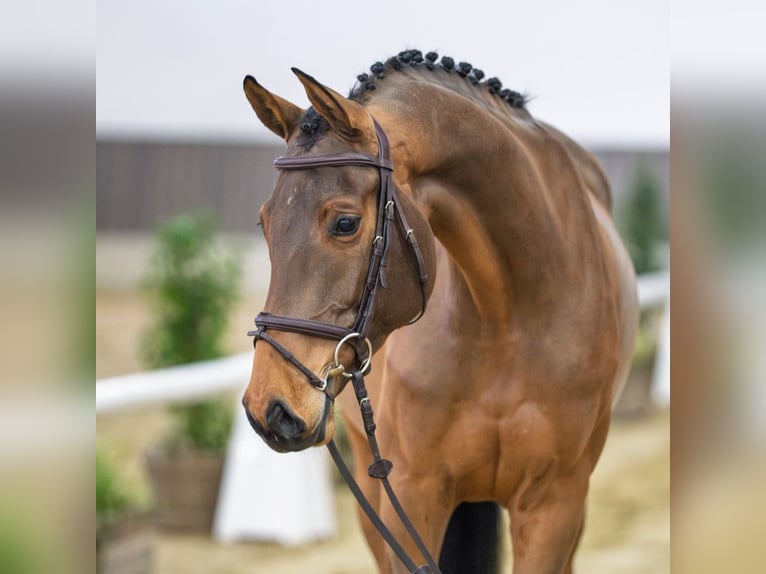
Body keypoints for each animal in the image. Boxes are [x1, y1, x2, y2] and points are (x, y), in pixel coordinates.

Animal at [241, 49, 638, 573]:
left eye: (345, 223)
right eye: (265, 223)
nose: (270, 409)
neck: (506, 316)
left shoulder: (556, 503)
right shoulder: (412, 494)